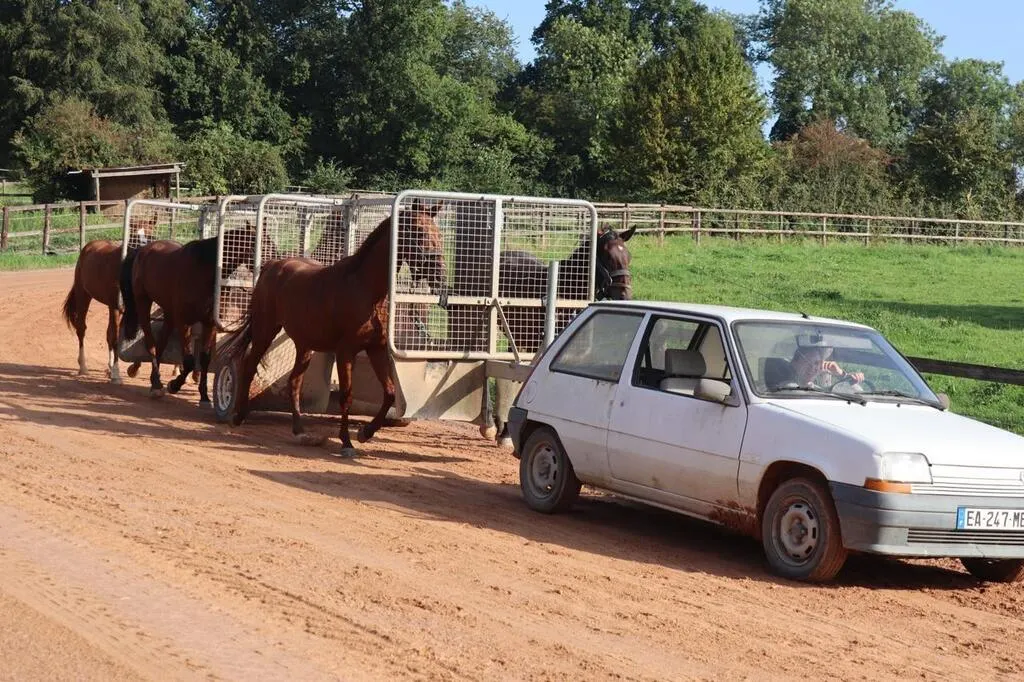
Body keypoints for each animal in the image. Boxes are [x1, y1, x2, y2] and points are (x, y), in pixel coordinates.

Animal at [61, 214, 159, 383]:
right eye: (134, 236)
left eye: (151, 235)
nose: (142, 253)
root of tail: (88, 247)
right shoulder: (116, 307)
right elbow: (115, 338)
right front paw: (116, 373)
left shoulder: (132, 309)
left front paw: (132, 369)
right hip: (83, 295)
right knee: (82, 329)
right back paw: (83, 366)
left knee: (108, 334)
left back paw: (108, 367)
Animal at [118, 222, 275, 405]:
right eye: (263, 246)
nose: (274, 263)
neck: (203, 271)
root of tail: (142, 250)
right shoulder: (184, 322)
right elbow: (189, 361)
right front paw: (174, 385)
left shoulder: (209, 323)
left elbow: (204, 359)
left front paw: (204, 396)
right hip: (143, 302)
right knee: (151, 343)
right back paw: (156, 385)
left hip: (169, 313)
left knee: (161, 343)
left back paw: (154, 380)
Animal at [218, 199, 448, 456]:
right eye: (418, 232)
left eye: (439, 233)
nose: (439, 274)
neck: (366, 290)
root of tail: (272, 265)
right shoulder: (345, 351)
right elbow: (346, 396)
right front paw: (347, 442)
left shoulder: (376, 349)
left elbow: (389, 393)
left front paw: (365, 433)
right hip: (265, 330)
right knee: (249, 366)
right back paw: (238, 416)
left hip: (304, 345)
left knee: (294, 382)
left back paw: (299, 430)